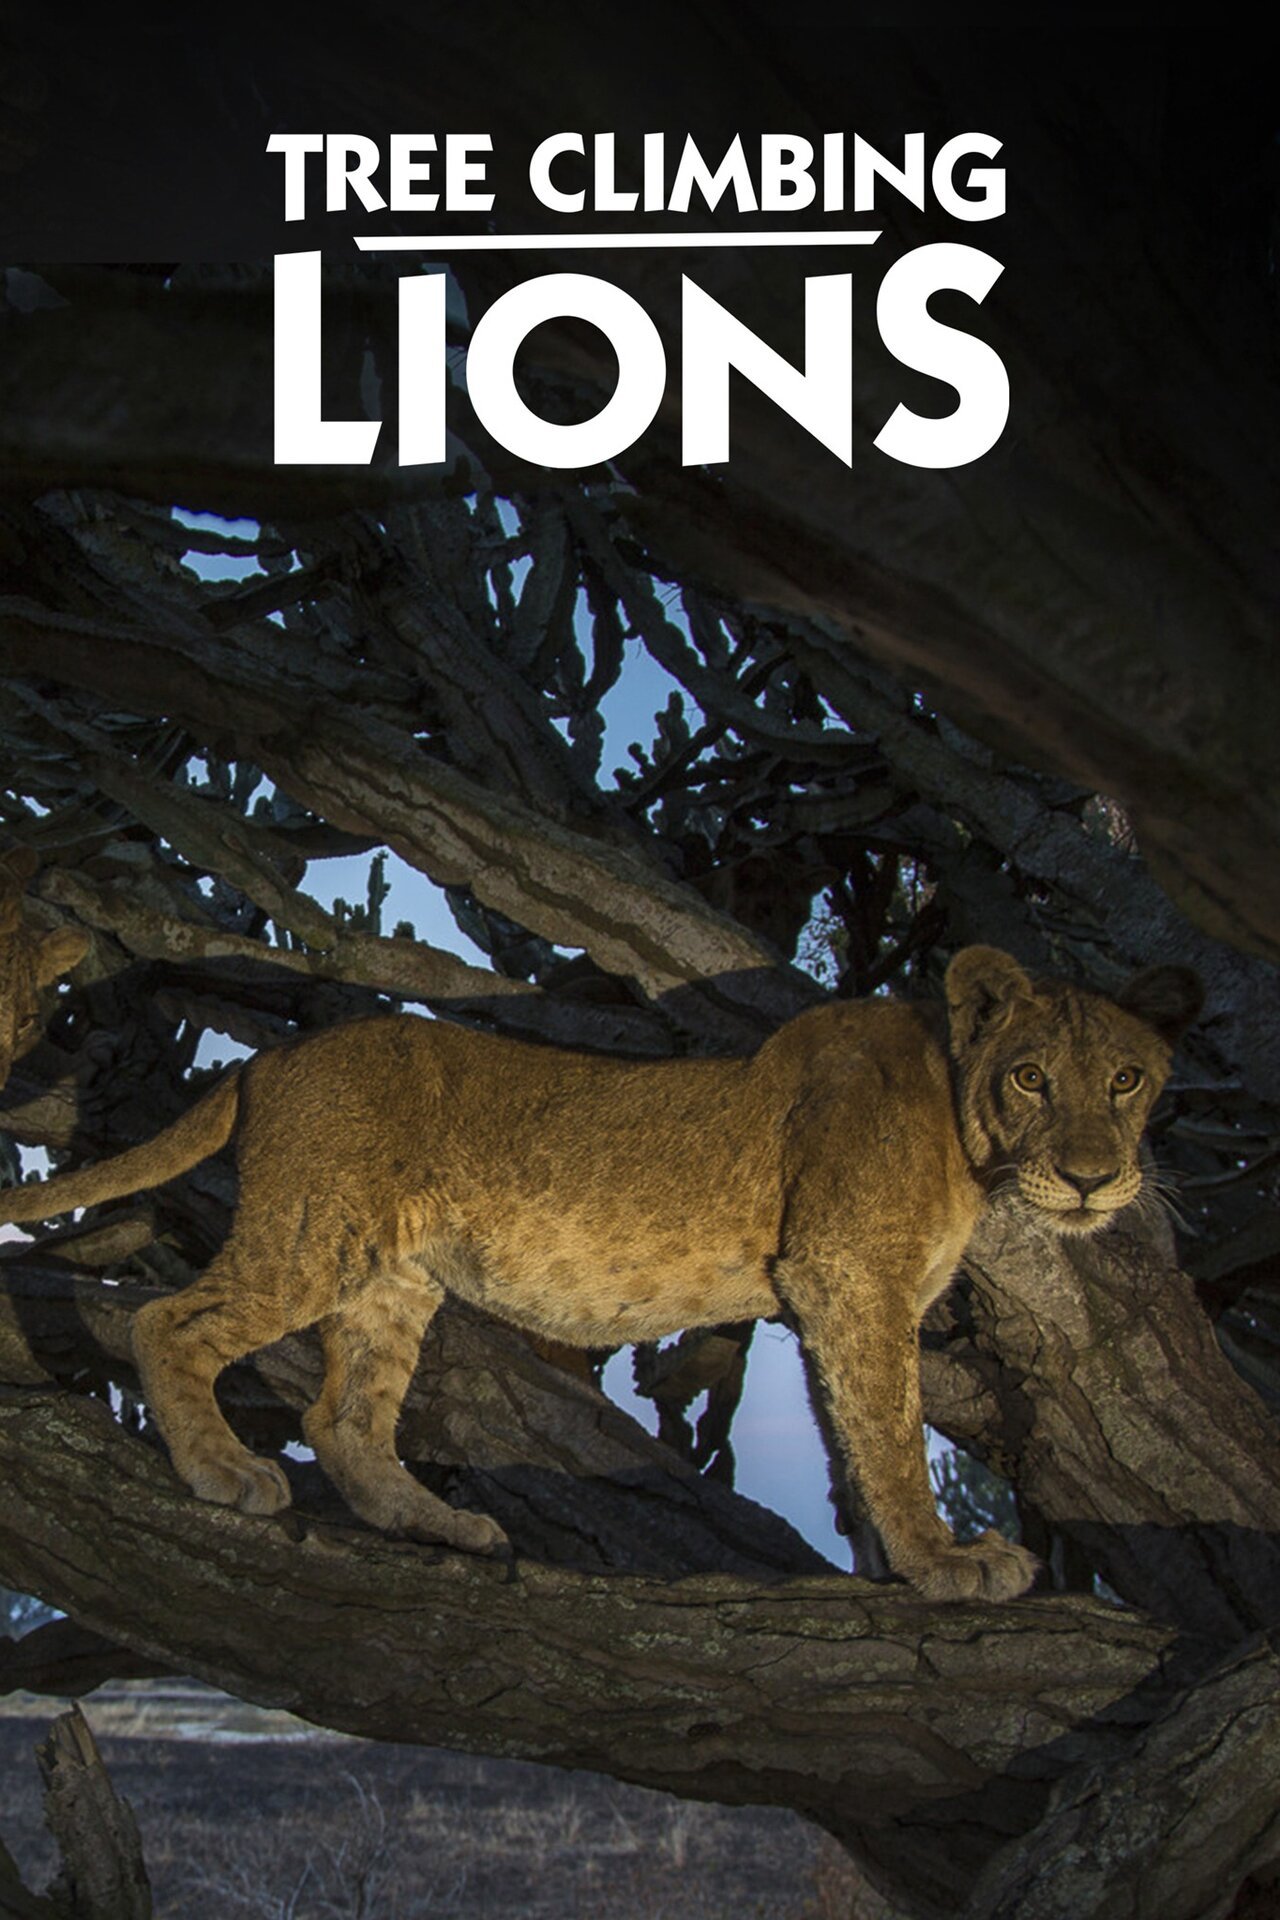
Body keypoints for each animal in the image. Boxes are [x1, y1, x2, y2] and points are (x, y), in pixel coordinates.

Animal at [0, 940, 1201, 1601]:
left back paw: (436, 1525)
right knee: (169, 1323)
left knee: (344, 1416)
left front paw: (894, 1565)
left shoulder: (831, 1292)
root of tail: (271, 1054)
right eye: (1033, 1078)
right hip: (311, 1236)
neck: (969, 1133)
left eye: (1127, 1079)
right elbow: (893, 1434)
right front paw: (948, 1566)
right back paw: (223, 1472)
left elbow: (852, 1438)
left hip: (393, 1280)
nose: (1091, 1180)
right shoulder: (850, 1273)